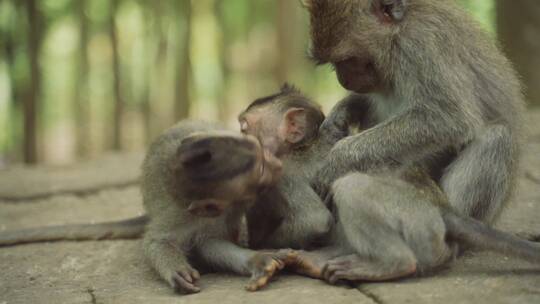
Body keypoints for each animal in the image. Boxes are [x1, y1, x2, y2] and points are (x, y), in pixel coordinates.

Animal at [304, 0, 528, 223]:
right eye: (333, 65)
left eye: (347, 60)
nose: (343, 79)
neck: (397, 36)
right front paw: (340, 114)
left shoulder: (421, 46)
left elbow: (449, 118)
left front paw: (338, 160)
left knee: (497, 136)